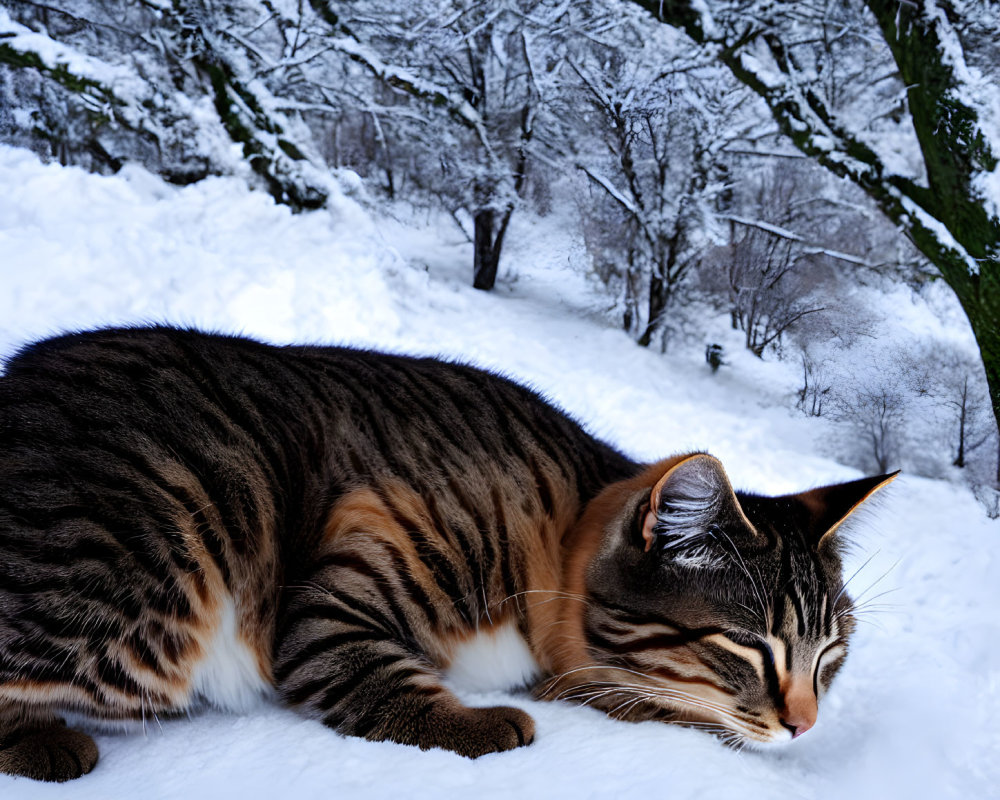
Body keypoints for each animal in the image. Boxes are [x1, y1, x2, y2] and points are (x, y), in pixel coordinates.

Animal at [0, 326, 892, 780]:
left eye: (831, 656)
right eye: (747, 646)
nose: (806, 725)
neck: (557, 525)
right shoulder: (333, 598)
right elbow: (364, 671)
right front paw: (483, 724)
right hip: (158, 568)